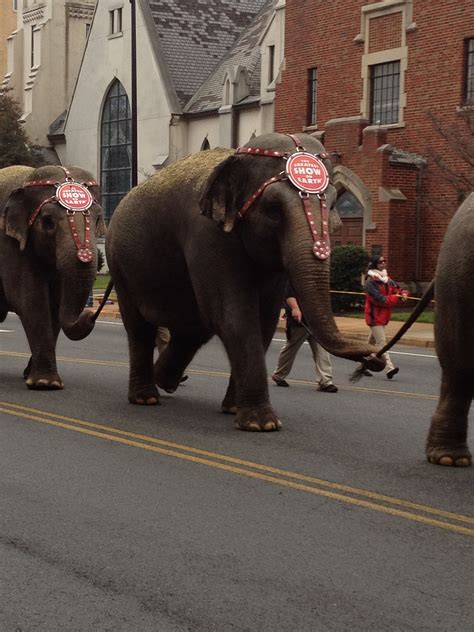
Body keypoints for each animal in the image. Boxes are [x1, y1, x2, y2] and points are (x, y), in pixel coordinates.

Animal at [0, 165, 105, 388]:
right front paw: (44, 384)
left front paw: (35, 378)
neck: (26, 179)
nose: (89, 315)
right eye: (47, 223)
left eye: (98, 220)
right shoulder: (7, 244)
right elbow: (29, 299)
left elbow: (55, 303)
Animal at [105, 132, 384, 430]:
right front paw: (261, 424)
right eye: (274, 209)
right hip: (120, 266)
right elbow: (234, 315)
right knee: (141, 329)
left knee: (193, 327)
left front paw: (236, 410)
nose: (374, 360)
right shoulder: (207, 234)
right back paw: (146, 397)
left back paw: (165, 381)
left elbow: (264, 320)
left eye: (331, 205)